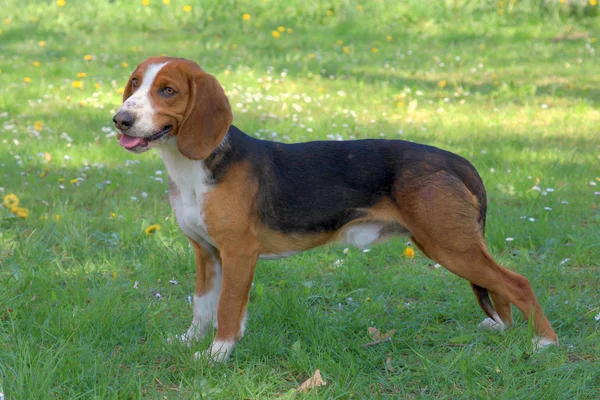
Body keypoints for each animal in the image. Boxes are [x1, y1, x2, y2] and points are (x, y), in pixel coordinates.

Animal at [113, 57, 556, 366]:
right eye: (134, 83)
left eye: (168, 91)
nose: (120, 119)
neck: (192, 168)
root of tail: (453, 159)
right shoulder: (207, 253)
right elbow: (202, 306)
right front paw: (189, 341)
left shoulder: (239, 253)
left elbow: (227, 310)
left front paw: (217, 355)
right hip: (455, 246)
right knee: (499, 288)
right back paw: (502, 329)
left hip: (450, 246)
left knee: (517, 283)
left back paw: (545, 342)